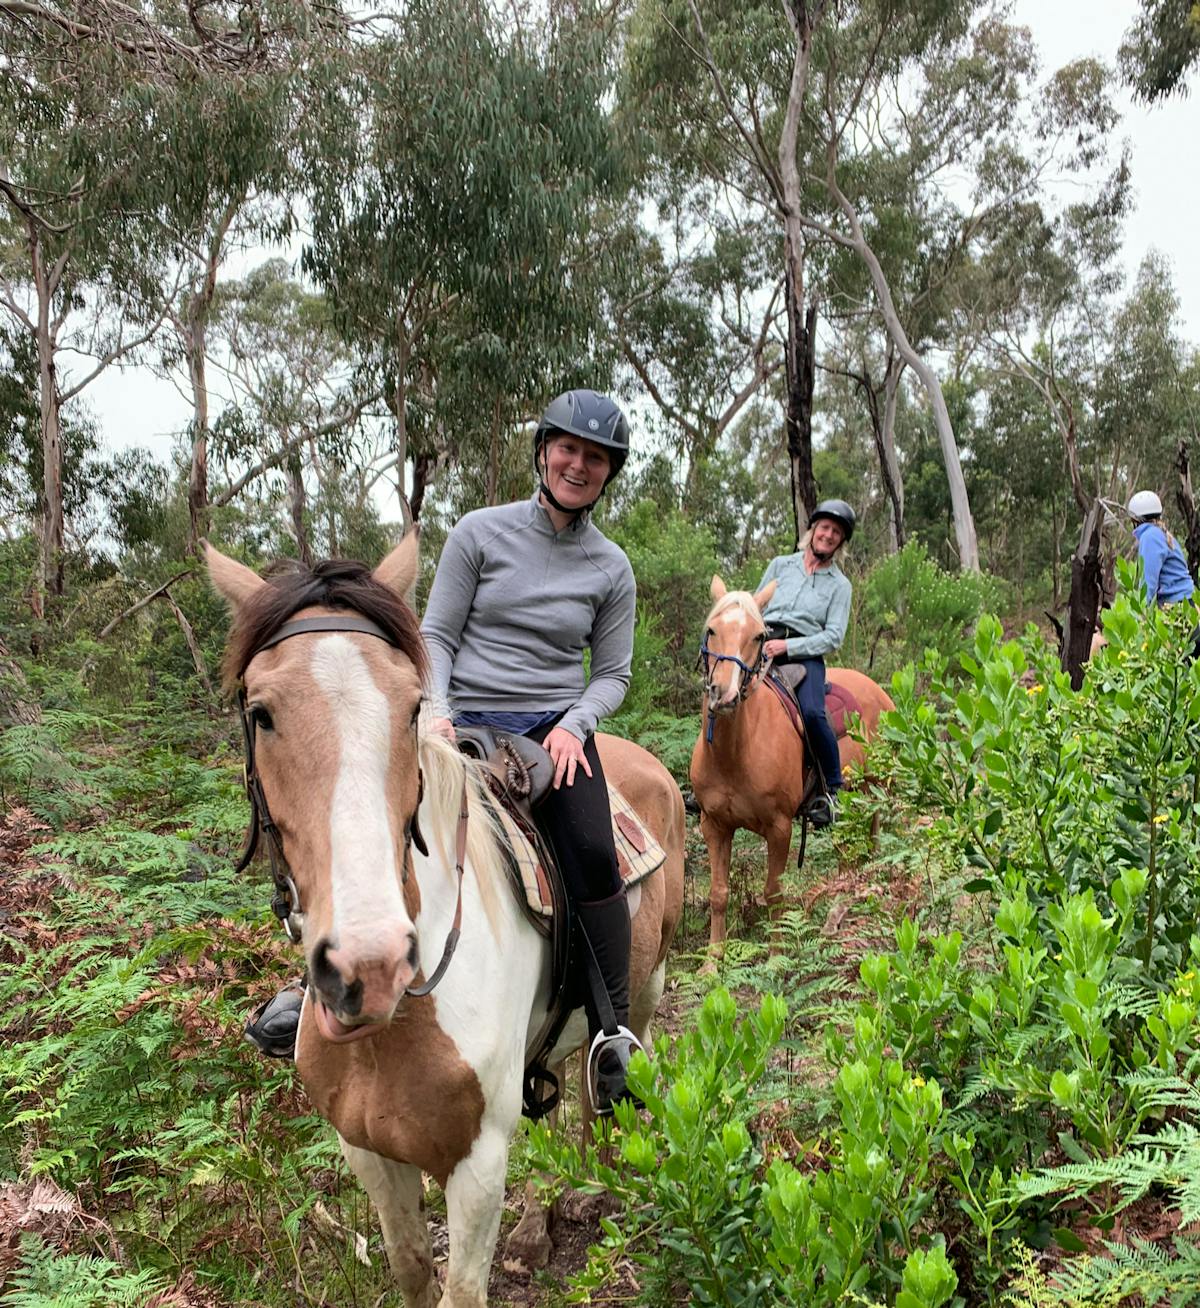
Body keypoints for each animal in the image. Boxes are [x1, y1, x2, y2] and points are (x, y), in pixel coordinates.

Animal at [205, 536, 685, 1302]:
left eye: (410, 708)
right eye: (261, 713)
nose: (368, 965)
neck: (398, 1020)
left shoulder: (478, 1164)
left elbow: (462, 1288)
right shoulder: (368, 1152)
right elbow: (409, 1266)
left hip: (645, 989)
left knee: (608, 1079)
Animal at [685, 578, 895, 957]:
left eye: (758, 636)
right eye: (712, 630)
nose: (724, 694)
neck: (735, 753)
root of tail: (880, 692)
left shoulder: (779, 827)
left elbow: (774, 893)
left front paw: (776, 956)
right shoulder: (714, 825)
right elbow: (718, 894)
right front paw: (712, 961)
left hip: (868, 795)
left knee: (856, 855)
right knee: (848, 857)